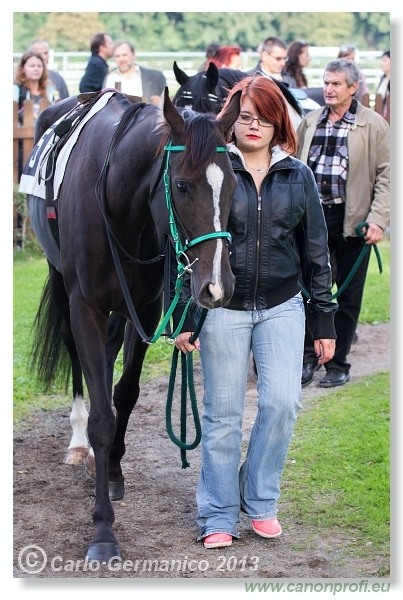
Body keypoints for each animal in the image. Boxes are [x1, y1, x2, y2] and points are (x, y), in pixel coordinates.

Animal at [26, 89, 241, 564]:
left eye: (234, 185)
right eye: (181, 186)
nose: (217, 285)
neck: (117, 200)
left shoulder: (143, 308)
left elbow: (124, 394)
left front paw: (113, 471)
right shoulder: (85, 306)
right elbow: (102, 417)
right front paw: (103, 529)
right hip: (59, 279)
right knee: (75, 354)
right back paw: (78, 444)